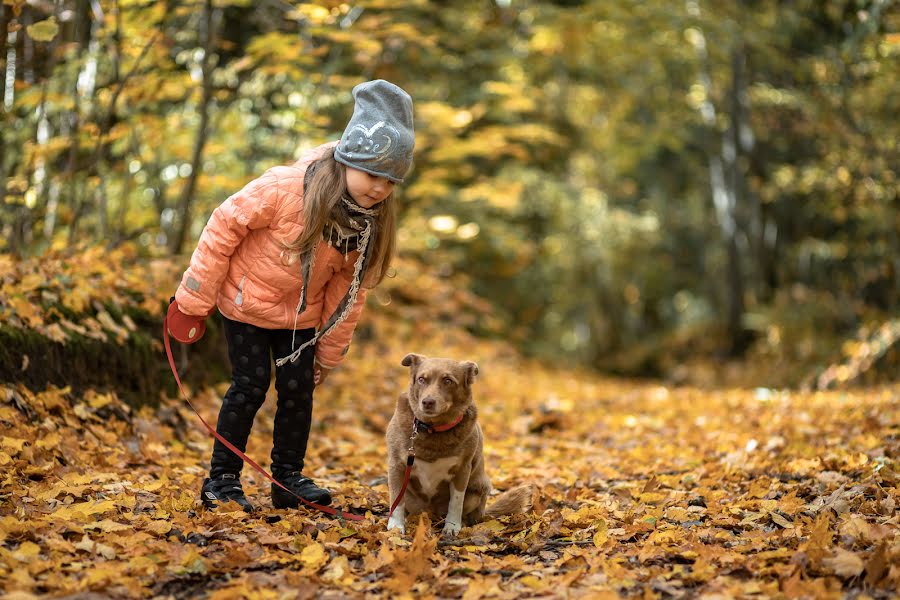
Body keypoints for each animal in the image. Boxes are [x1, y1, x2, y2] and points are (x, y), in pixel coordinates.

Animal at [384, 354, 532, 536]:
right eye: (421, 379)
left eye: (448, 380)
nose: (427, 402)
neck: (433, 429)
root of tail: (430, 513)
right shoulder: (396, 465)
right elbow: (397, 500)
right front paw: (396, 526)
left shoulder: (463, 469)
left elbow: (456, 502)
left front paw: (452, 527)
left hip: (477, 491)